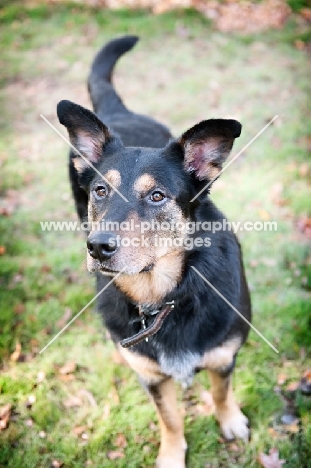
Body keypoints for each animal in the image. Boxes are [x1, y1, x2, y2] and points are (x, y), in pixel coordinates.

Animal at [57, 35, 252, 468]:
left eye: (157, 196)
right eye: (101, 190)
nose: (98, 248)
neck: (166, 296)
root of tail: (118, 111)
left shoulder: (225, 354)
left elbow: (221, 391)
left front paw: (230, 421)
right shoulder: (151, 376)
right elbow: (171, 418)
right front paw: (172, 453)